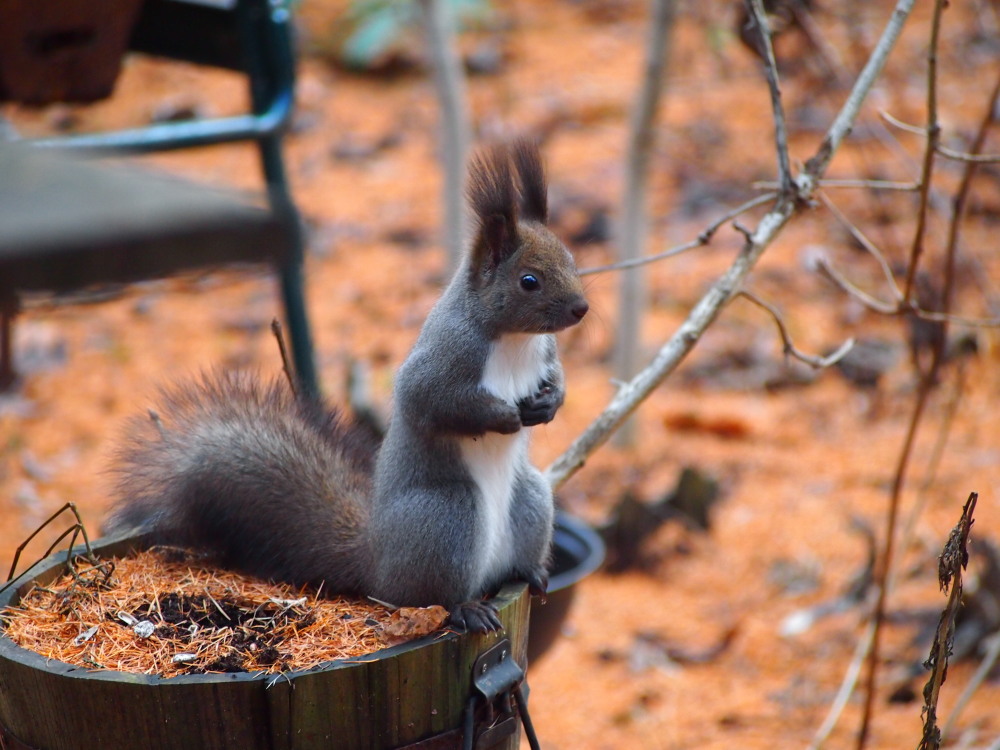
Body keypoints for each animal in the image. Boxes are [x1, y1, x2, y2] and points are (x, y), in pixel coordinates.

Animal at [103, 141, 584, 636]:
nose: (581, 309)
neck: (513, 340)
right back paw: (466, 607)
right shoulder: (446, 356)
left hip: (529, 498)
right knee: (432, 594)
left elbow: (556, 377)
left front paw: (549, 403)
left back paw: (531, 573)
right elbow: (428, 399)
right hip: (447, 516)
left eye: (571, 261)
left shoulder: (543, 355)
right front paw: (502, 416)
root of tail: (378, 564)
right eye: (529, 281)